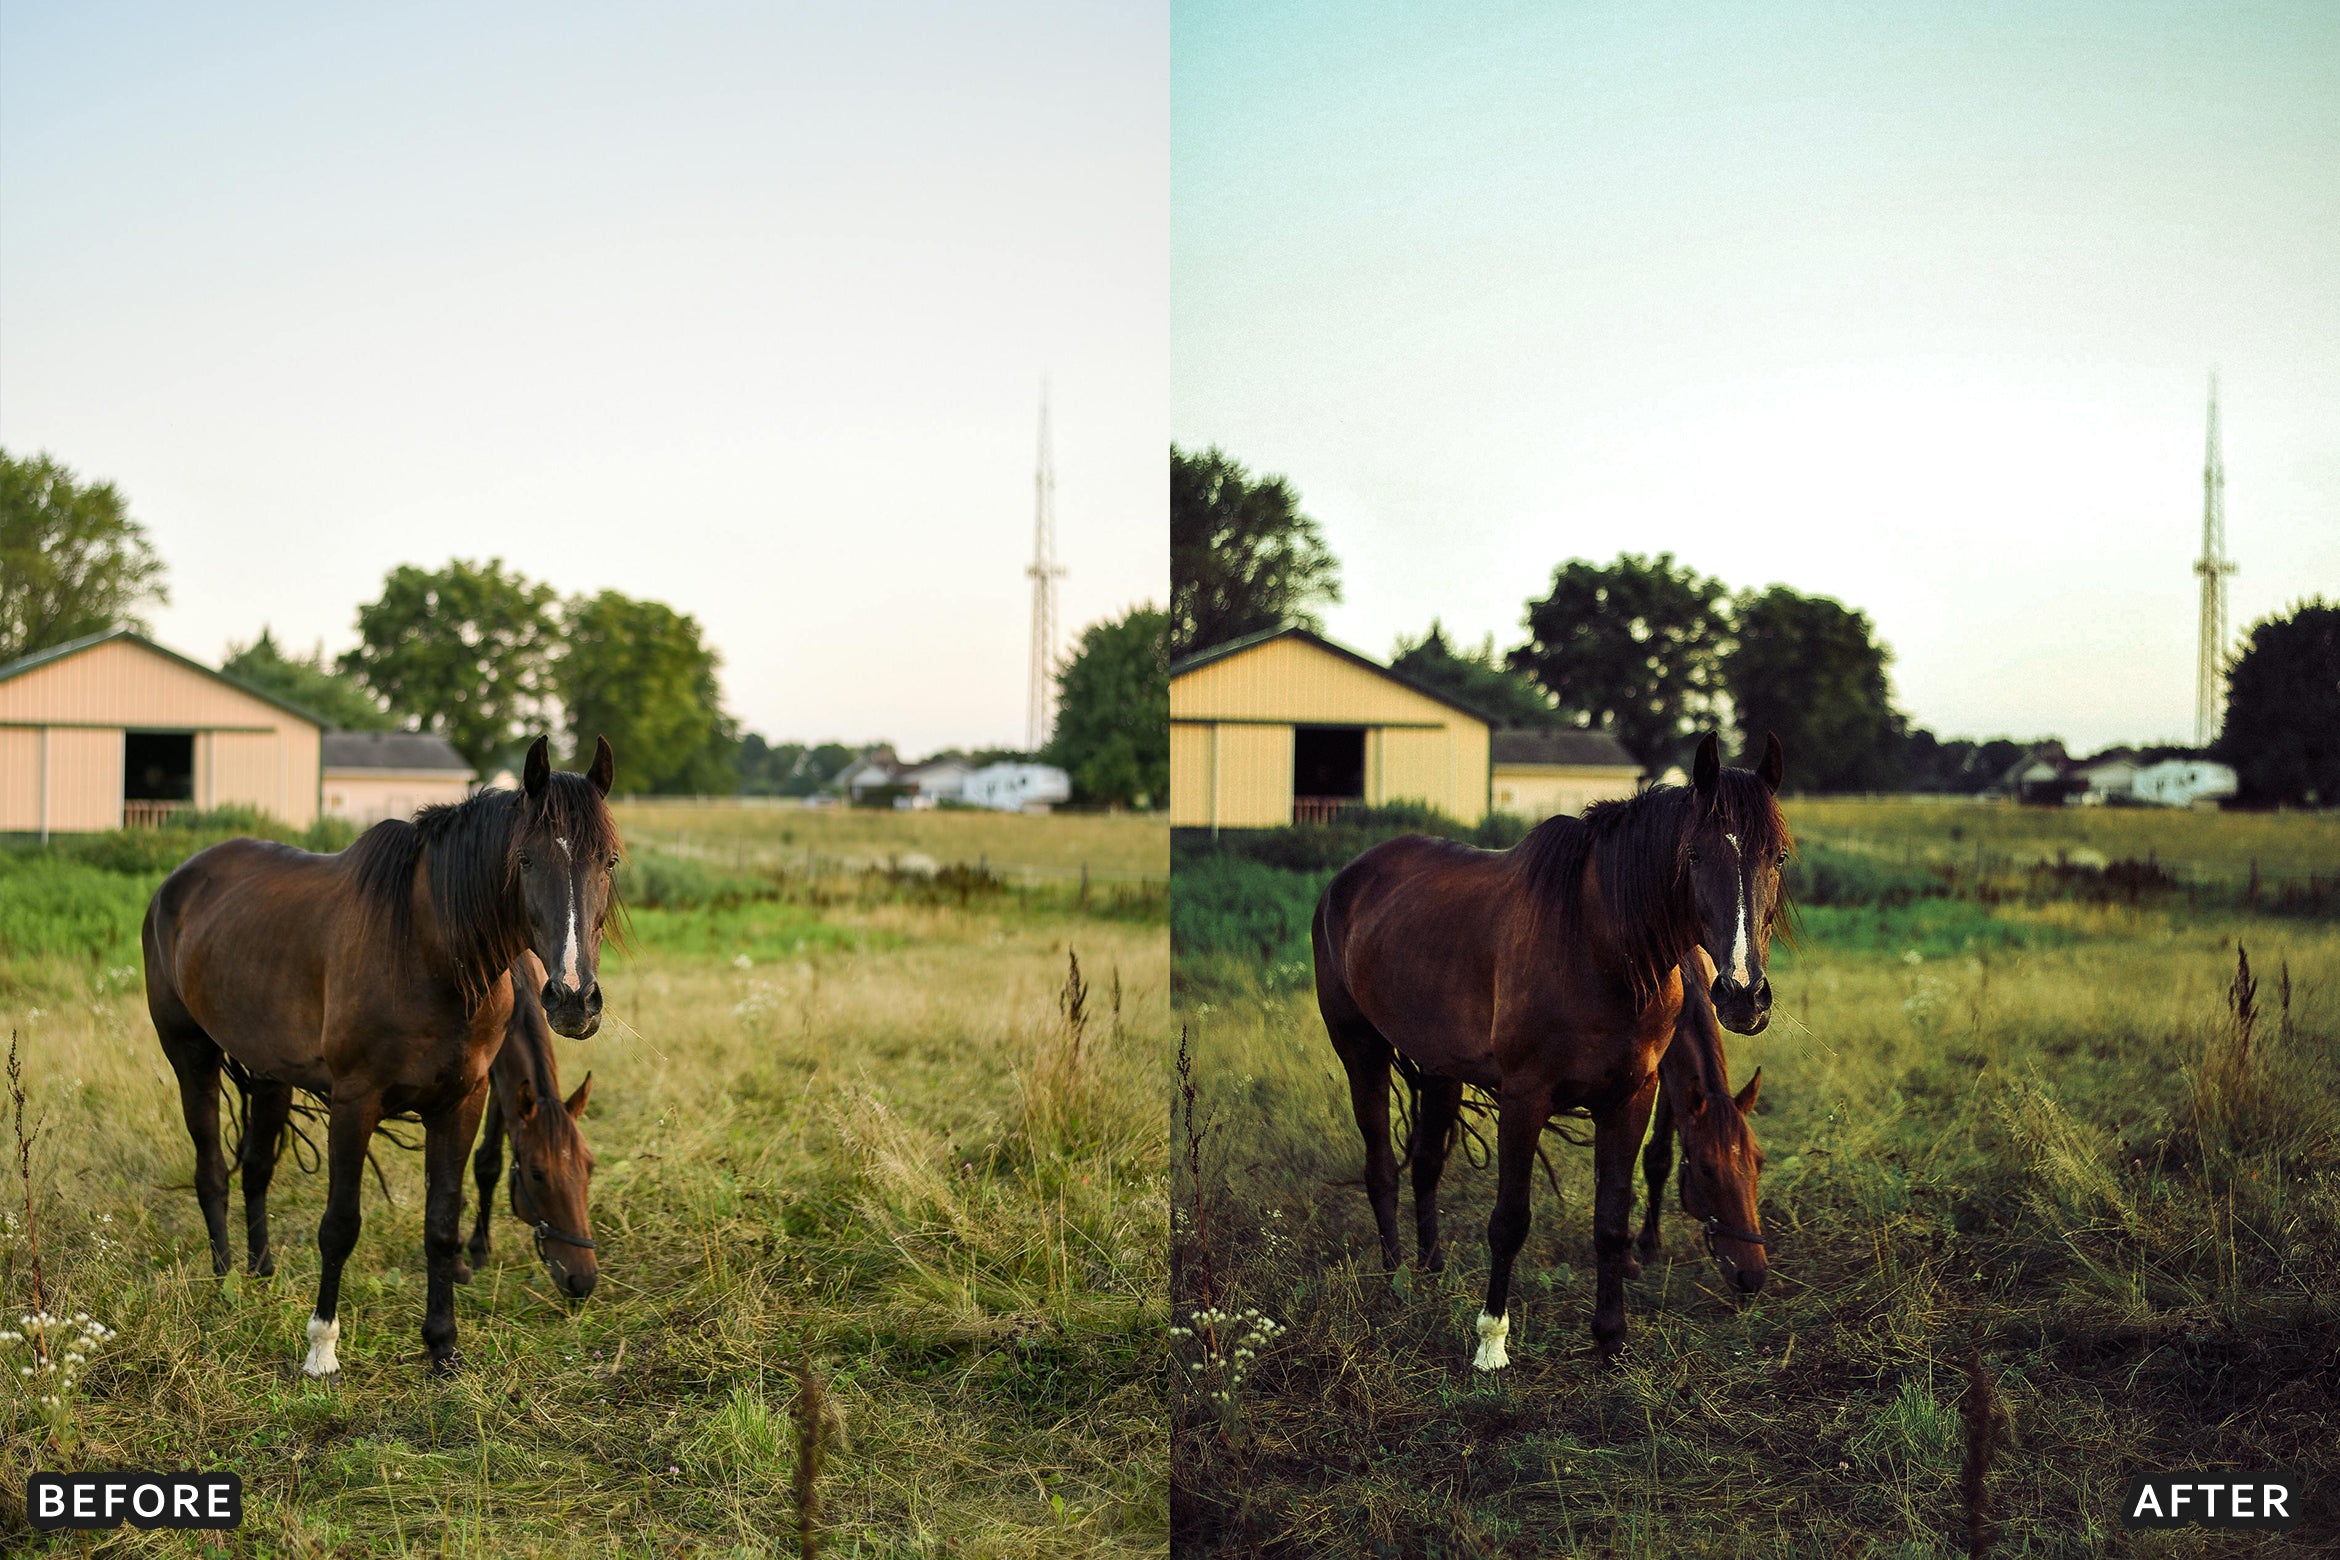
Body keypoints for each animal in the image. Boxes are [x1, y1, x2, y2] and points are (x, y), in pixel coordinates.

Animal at [459, 949, 598, 1298]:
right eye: (537, 1175)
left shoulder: (505, 1082)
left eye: (590, 1167)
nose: (583, 1281)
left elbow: (489, 1163)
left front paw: (479, 1247)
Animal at [1313, 732, 1787, 1368]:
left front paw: (1611, 1336)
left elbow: (1612, 1216)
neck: (1598, 947)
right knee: (1382, 1167)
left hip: (1440, 1069)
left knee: (1428, 1164)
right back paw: (1394, 1281)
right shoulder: (1524, 1097)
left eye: (1778, 858)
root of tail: (1346, 880)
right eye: (1693, 856)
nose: (1742, 996)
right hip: (1359, 1049)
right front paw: (1491, 1343)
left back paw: (1430, 1267)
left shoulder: (1632, 1097)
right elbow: (1510, 1220)